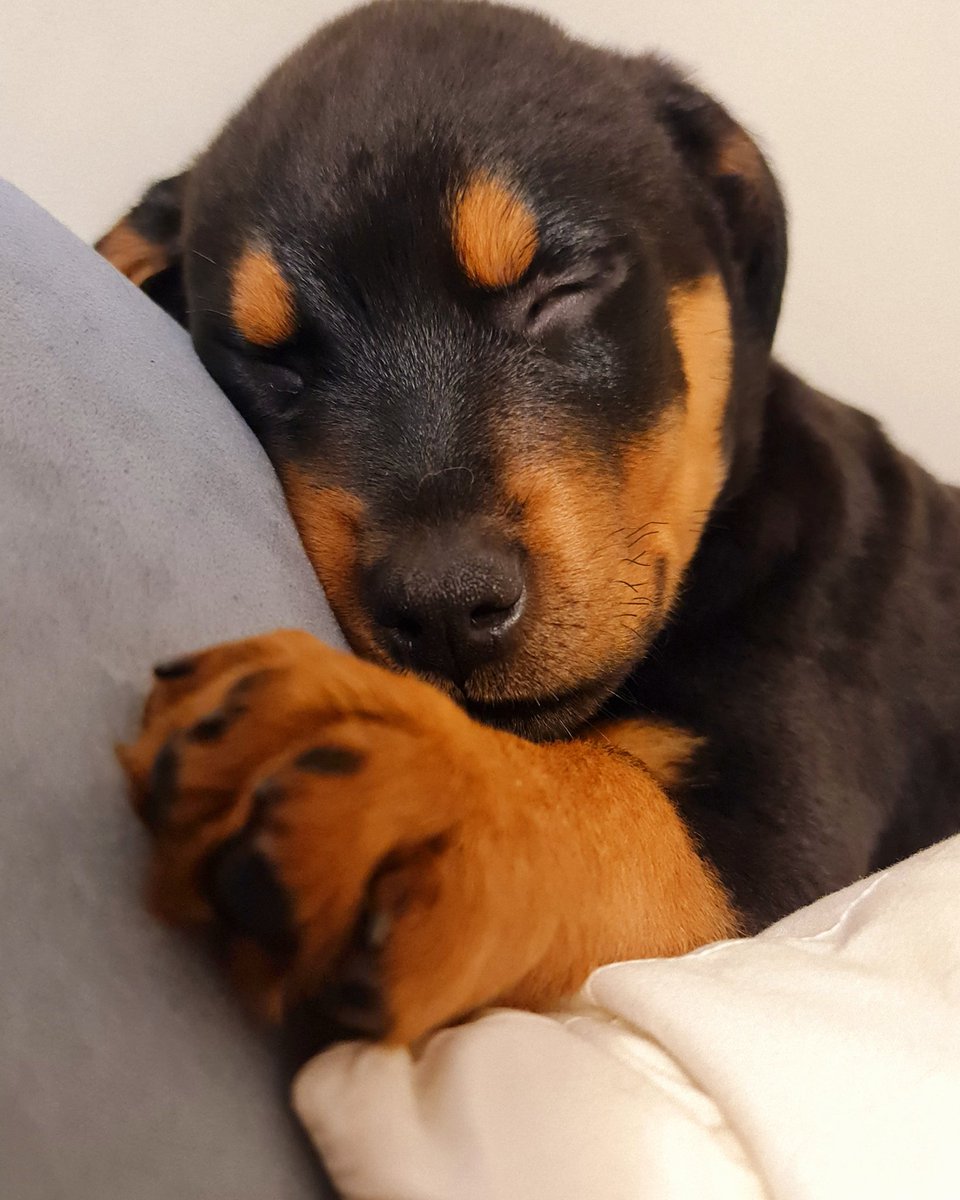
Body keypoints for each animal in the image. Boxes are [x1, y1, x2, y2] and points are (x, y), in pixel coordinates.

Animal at [101, 2, 960, 1051]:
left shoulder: (784, 841)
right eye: (268, 359)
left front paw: (433, 784)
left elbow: (624, 810)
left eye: (563, 284)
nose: (442, 606)